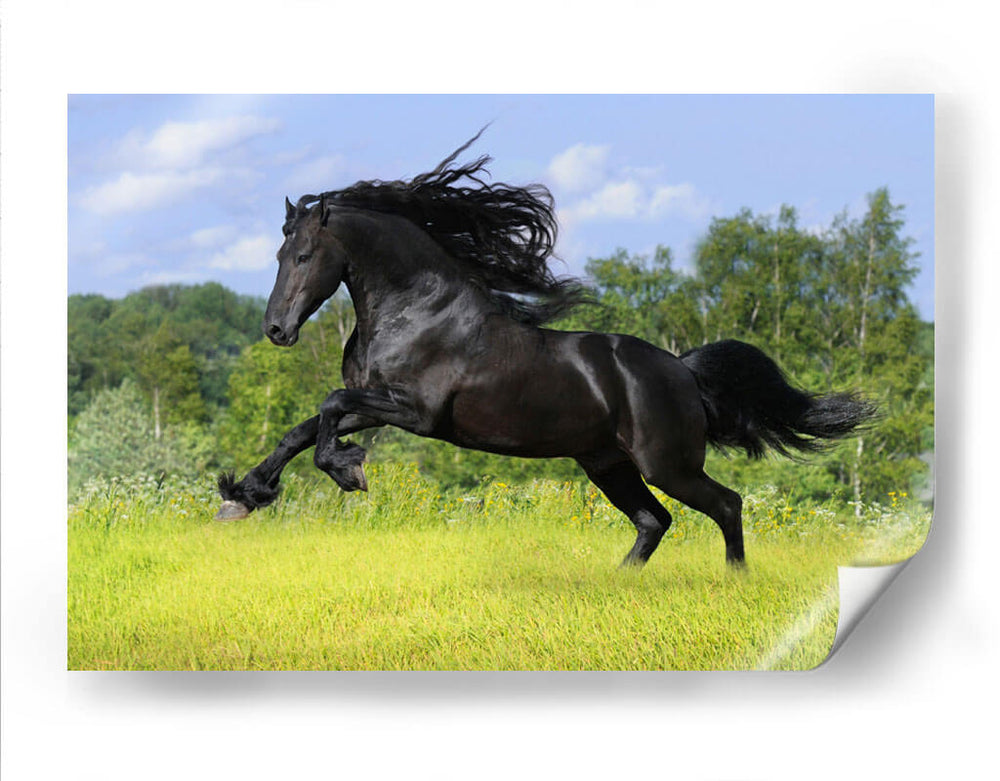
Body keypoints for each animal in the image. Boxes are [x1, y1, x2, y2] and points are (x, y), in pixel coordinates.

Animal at [215, 133, 876, 568]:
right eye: (278, 254)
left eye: (304, 255)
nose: (277, 330)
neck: (416, 310)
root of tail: (683, 371)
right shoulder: (375, 401)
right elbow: (301, 429)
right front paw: (242, 497)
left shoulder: (416, 412)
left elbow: (327, 407)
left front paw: (347, 470)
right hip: (607, 464)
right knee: (654, 520)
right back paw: (619, 584)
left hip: (667, 463)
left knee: (726, 505)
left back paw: (733, 581)